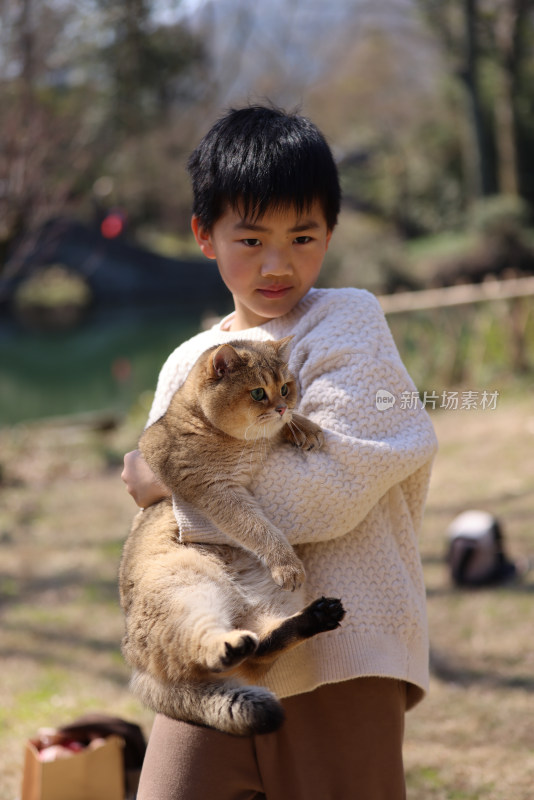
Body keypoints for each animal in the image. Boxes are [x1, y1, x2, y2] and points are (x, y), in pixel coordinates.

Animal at [120, 338, 348, 736]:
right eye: (258, 392)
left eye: (285, 388)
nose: (281, 405)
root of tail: (136, 666)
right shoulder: (219, 492)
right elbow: (258, 528)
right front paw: (286, 562)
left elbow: (279, 430)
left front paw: (304, 427)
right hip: (185, 591)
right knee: (205, 648)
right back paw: (228, 646)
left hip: (270, 604)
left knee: (261, 649)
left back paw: (317, 616)